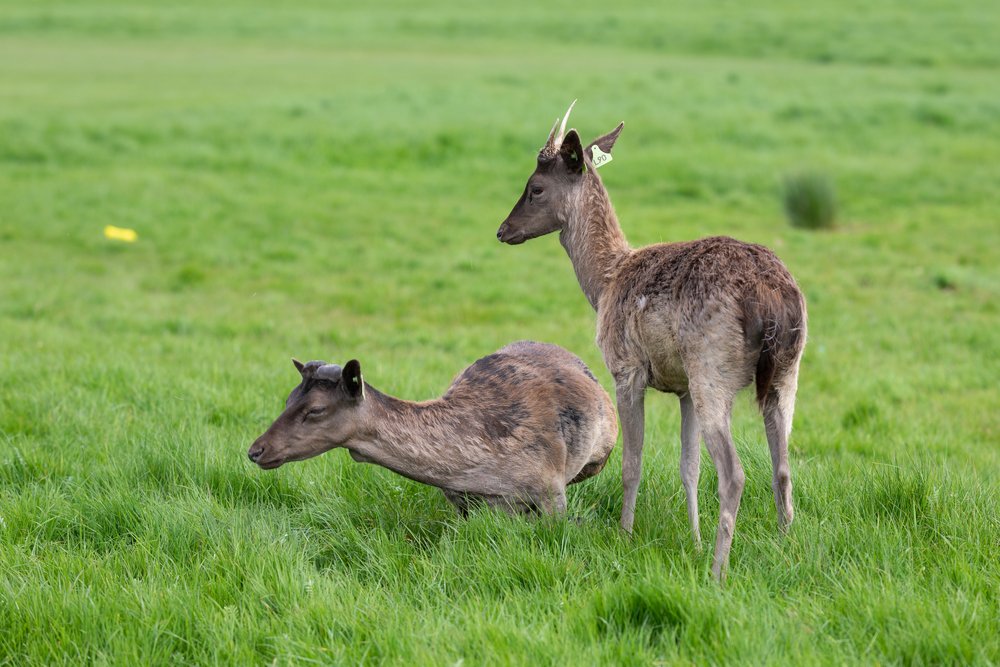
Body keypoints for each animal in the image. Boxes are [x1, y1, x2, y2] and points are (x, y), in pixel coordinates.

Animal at [496, 103, 808, 580]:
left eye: (535, 188)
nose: (503, 229)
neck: (606, 281)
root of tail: (772, 299)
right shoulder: (682, 388)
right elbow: (688, 466)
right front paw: (693, 540)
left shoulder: (626, 367)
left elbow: (632, 461)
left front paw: (626, 536)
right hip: (785, 370)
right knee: (784, 465)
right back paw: (784, 547)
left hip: (712, 366)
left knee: (735, 472)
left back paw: (718, 571)